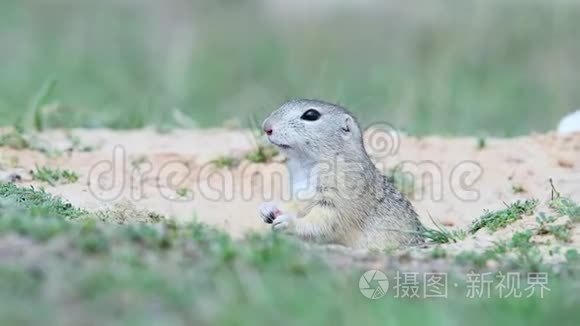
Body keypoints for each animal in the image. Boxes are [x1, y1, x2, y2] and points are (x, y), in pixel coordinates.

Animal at [260, 99, 424, 250]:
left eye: (311, 115)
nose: (266, 127)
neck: (306, 164)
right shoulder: (300, 192)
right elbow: (294, 204)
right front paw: (268, 208)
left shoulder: (340, 192)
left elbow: (325, 221)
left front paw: (287, 223)